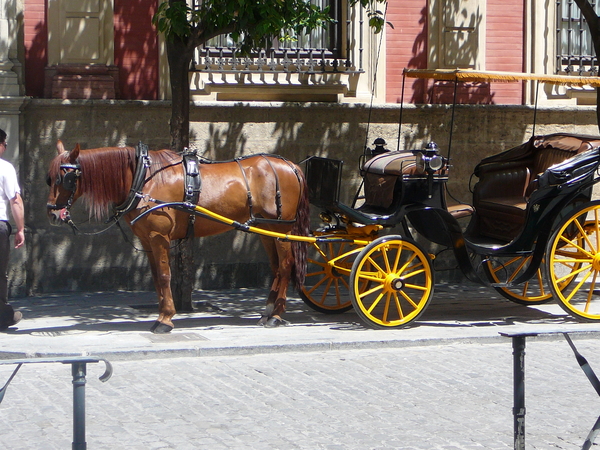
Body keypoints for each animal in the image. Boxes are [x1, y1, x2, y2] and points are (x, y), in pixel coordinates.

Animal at [47, 142, 310, 334]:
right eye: (49, 179)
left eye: (65, 179)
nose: (52, 213)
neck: (145, 178)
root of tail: (290, 165)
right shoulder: (147, 240)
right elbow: (156, 278)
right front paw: (164, 313)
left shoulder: (159, 237)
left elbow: (165, 276)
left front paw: (164, 319)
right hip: (266, 228)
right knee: (276, 267)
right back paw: (268, 311)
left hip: (282, 230)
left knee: (286, 265)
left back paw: (276, 315)